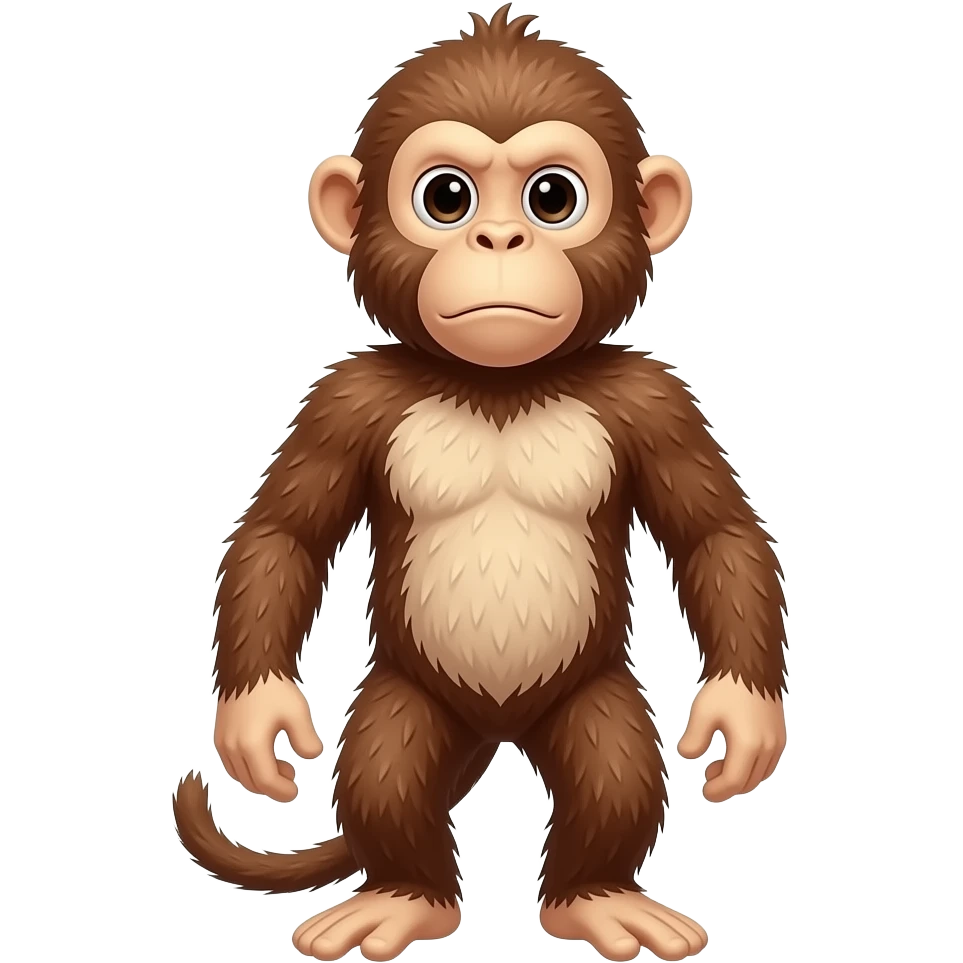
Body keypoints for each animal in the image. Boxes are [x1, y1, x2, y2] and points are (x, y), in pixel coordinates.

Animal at [171, 6, 789, 962]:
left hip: (589, 688)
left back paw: (594, 895)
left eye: (552, 197)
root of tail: (498, 728)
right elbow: (284, 534)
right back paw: (405, 895)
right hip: (410, 690)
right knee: (387, 757)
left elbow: (714, 534)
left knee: (611, 758)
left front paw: (743, 716)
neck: (499, 385)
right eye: (446, 198)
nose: (499, 240)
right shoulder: (345, 396)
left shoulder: (654, 397)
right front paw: (255, 717)